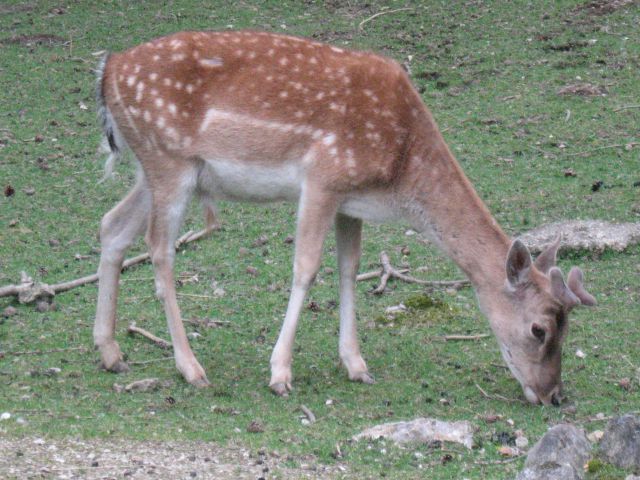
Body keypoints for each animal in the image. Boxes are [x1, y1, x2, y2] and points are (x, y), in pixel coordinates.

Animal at [94, 30, 596, 404]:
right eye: (539, 328)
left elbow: (349, 268)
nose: (553, 395)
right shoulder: (324, 177)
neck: (400, 167)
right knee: (160, 251)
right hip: (169, 160)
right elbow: (306, 268)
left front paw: (356, 364)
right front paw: (280, 373)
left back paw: (111, 352)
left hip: (156, 170)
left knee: (112, 225)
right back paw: (190, 367)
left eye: (566, 326)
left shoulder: (350, 201)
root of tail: (108, 71)